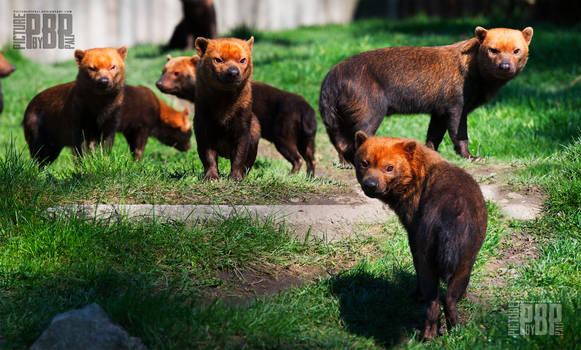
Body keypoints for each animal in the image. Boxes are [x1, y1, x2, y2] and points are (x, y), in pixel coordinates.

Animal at [156, 55, 314, 175]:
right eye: (163, 70)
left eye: (176, 73)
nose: (159, 83)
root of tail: (306, 109)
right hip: (306, 134)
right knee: (309, 155)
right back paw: (309, 176)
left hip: (285, 127)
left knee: (295, 154)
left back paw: (291, 173)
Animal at [194, 37, 260, 182]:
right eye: (218, 59)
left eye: (243, 60)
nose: (233, 72)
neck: (225, 101)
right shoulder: (203, 126)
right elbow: (208, 156)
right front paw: (211, 177)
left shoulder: (243, 126)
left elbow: (240, 155)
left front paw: (236, 177)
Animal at [320, 26, 532, 165]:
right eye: (493, 49)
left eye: (516, 50)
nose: (505, 66)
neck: (472, 71)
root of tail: (331, 77)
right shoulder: (456, 106)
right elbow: (459, 134)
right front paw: (471, 157)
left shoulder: (439, 110)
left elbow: (433, 136)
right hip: (370, 111)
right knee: (357, 136)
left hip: (339, 117)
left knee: (339, 140)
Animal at [354, 131, 484, 340]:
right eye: (364, 163)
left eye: (389, 167)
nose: (370, 184)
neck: (420, 174)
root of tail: (450, 215)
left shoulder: (413, 238)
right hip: (464, 260)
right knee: (446, 300)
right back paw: (453, 332)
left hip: (430, 259)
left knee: (435, 302)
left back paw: (428, 334)